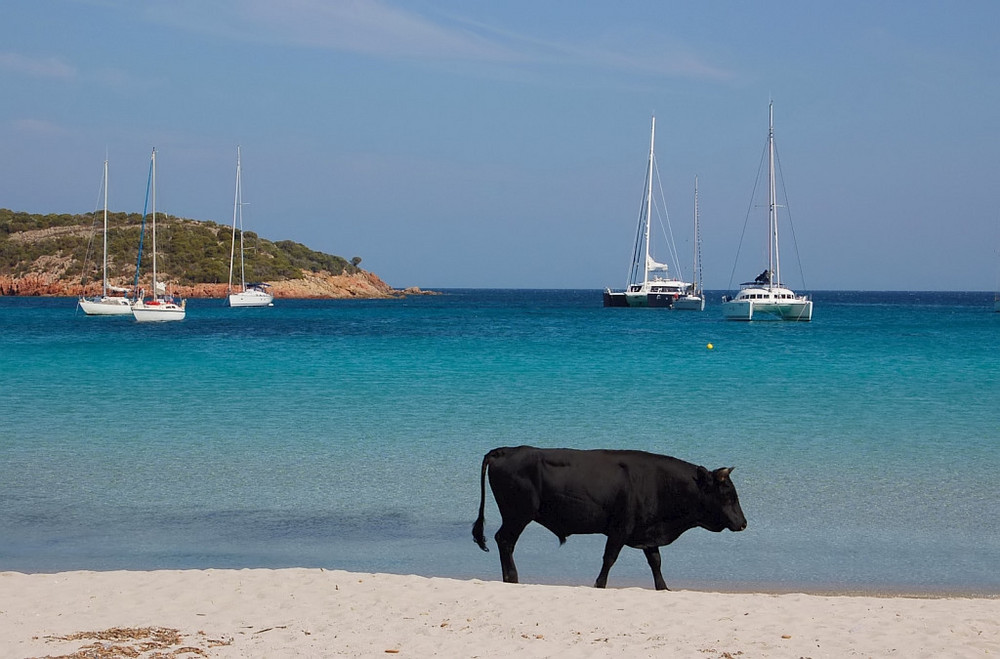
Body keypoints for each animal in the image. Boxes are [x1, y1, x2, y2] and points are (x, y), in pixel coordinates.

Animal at [472, 446, 748, 592]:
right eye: (727, 494)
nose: (743, 523)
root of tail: (504, 451)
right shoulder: (619, 529)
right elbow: (610, 559)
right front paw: (599, 584)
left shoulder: (647, 532)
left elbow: (656, 562)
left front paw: (664, 588)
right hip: (517, 515)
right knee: (504, 541)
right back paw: (512, 578)